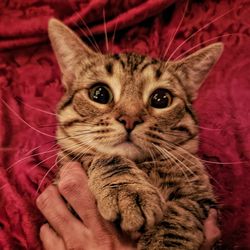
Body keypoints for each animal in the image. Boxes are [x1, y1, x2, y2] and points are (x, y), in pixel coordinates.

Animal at [47, 18, 224, 249]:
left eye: (161, 99)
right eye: (99, 94)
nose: (130, 119)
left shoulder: (204, 200)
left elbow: (184, 210)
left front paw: (162, 240)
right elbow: (101, 155)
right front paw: (128, 190)